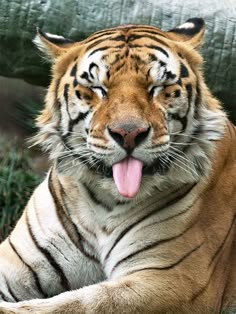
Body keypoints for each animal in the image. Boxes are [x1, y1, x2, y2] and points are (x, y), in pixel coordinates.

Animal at [0, 17, 235, 314]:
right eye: (97, 89)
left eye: (157, 88)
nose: (129, 133)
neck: (104, 201)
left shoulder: (172, 279)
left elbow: (80, 302)